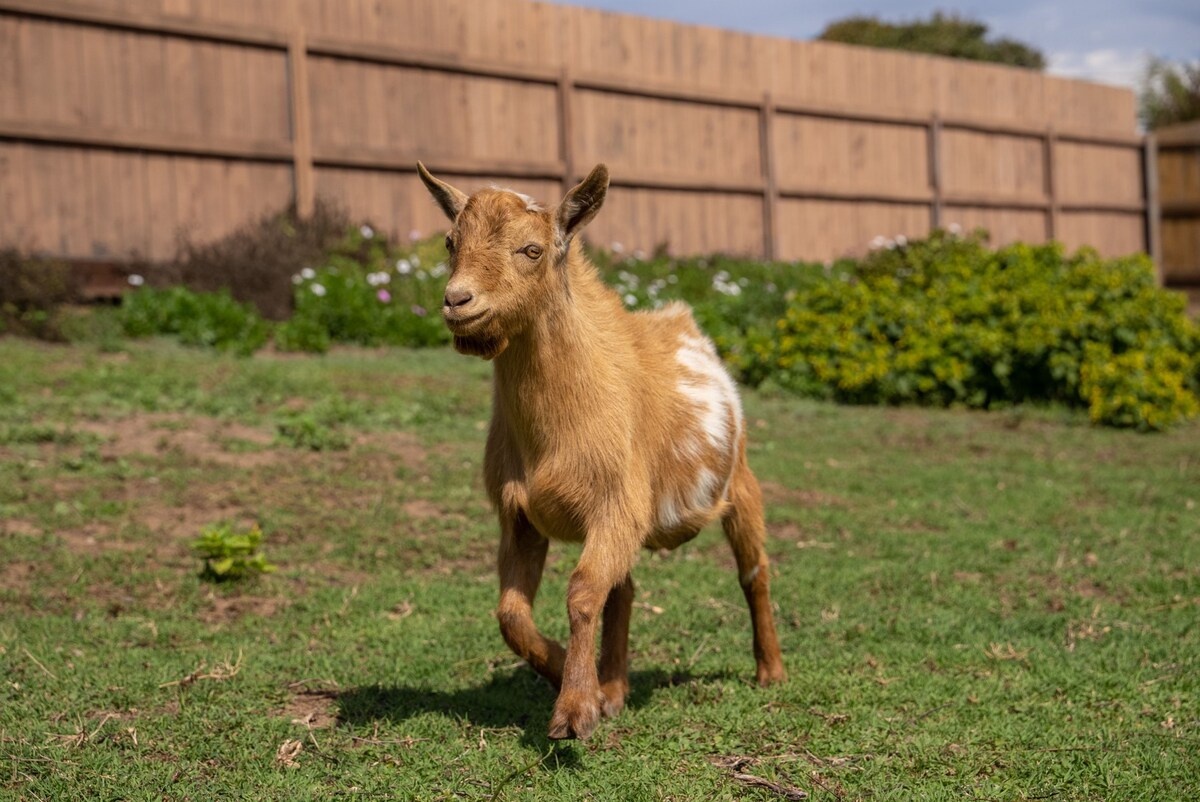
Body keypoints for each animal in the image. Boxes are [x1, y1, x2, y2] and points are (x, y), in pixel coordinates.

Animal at [417, 162, 786, 740]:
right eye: (450, 242)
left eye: (531, 250)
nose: (458, 301)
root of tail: (683, 320)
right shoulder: (518, 517)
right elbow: (512, 614)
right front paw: (573, 678)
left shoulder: (615, 507)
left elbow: (583, 591)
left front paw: (574, 709)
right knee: (625, 589)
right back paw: (613, 686)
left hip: (742, 480)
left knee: (755, 571)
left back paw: (770, 670)